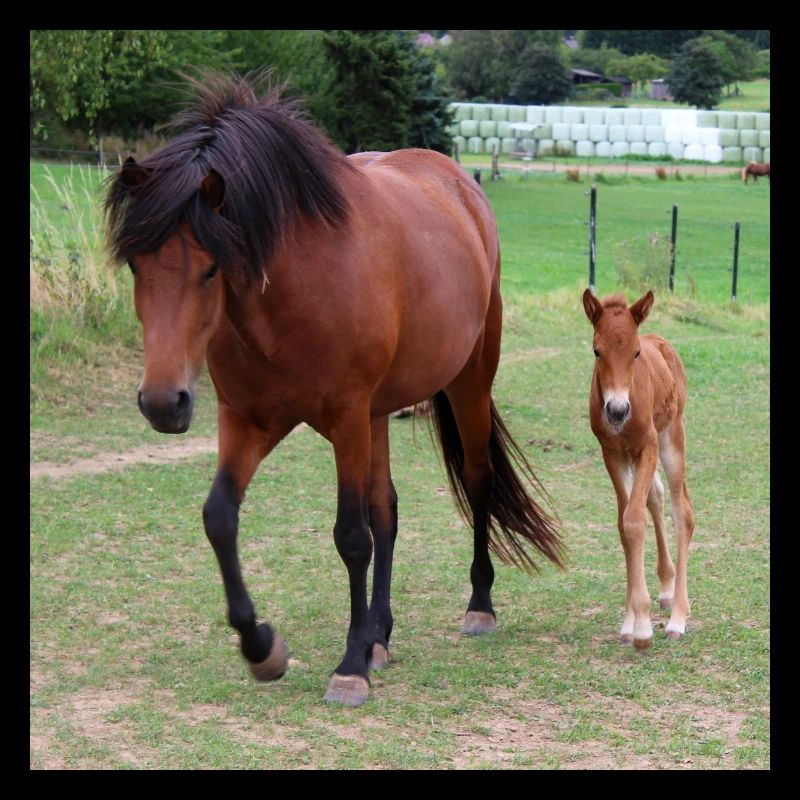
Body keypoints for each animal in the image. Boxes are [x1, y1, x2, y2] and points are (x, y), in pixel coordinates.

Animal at [104, 71, 564, 707]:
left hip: (467, 382)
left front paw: (349, 666)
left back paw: (478, 605)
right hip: (378, 414)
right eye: (136, 266)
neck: (292, 292)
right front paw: (263, 647)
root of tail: (461, 186)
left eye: (211, 268)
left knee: (476, 482)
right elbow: (221, 517)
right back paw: (380, 635)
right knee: (387, 509)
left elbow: (351, 536)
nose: (161, 401)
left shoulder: (345, 418)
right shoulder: (248, 419)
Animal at [582, 289, 695, 650]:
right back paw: (666, 589)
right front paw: (631, 622)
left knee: (682, 510)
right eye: (596, 350)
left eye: (635, 352)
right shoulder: (612, 455)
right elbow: (624, 524)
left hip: (672, 435)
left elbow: (633, 520)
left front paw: (643, 628)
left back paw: (678, 618)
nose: (617, 410)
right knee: (654, 498)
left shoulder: (648, 448)